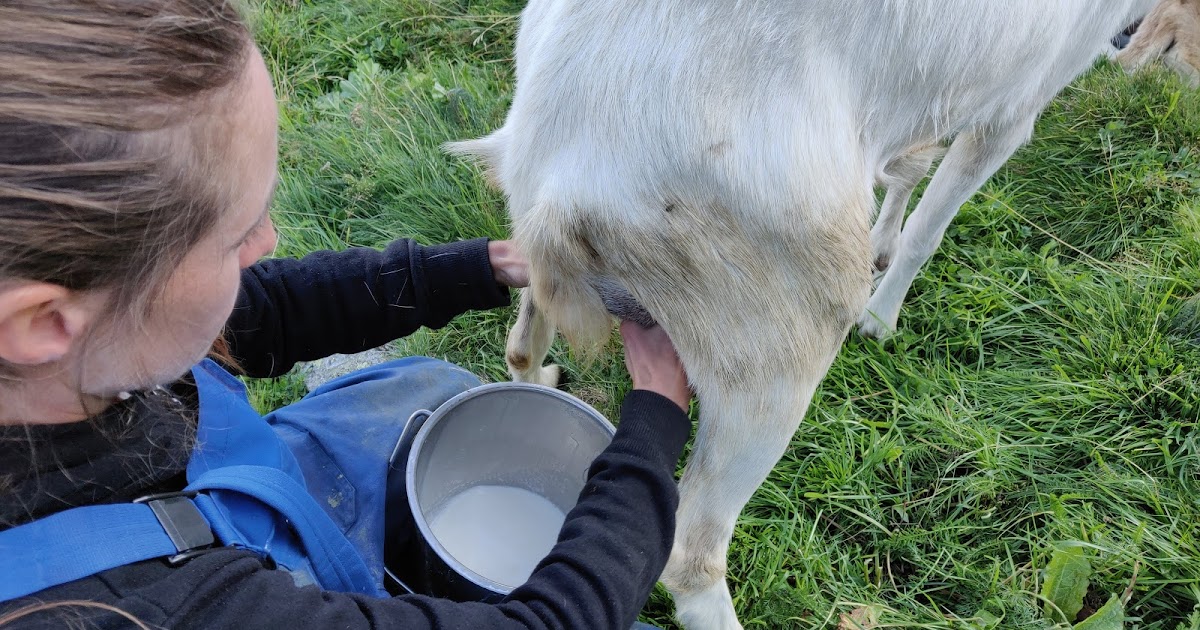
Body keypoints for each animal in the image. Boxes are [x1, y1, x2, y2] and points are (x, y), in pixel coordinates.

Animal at [451, 2, 1176, 628]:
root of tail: (562, 173)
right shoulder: (1015, 105)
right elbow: (930, 226)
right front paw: (882, 319)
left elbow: (906, 169)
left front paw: (884, 246)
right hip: (776, 342)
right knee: (690, 552)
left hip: (538, 250)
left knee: (520, 345)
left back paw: (542, 377)